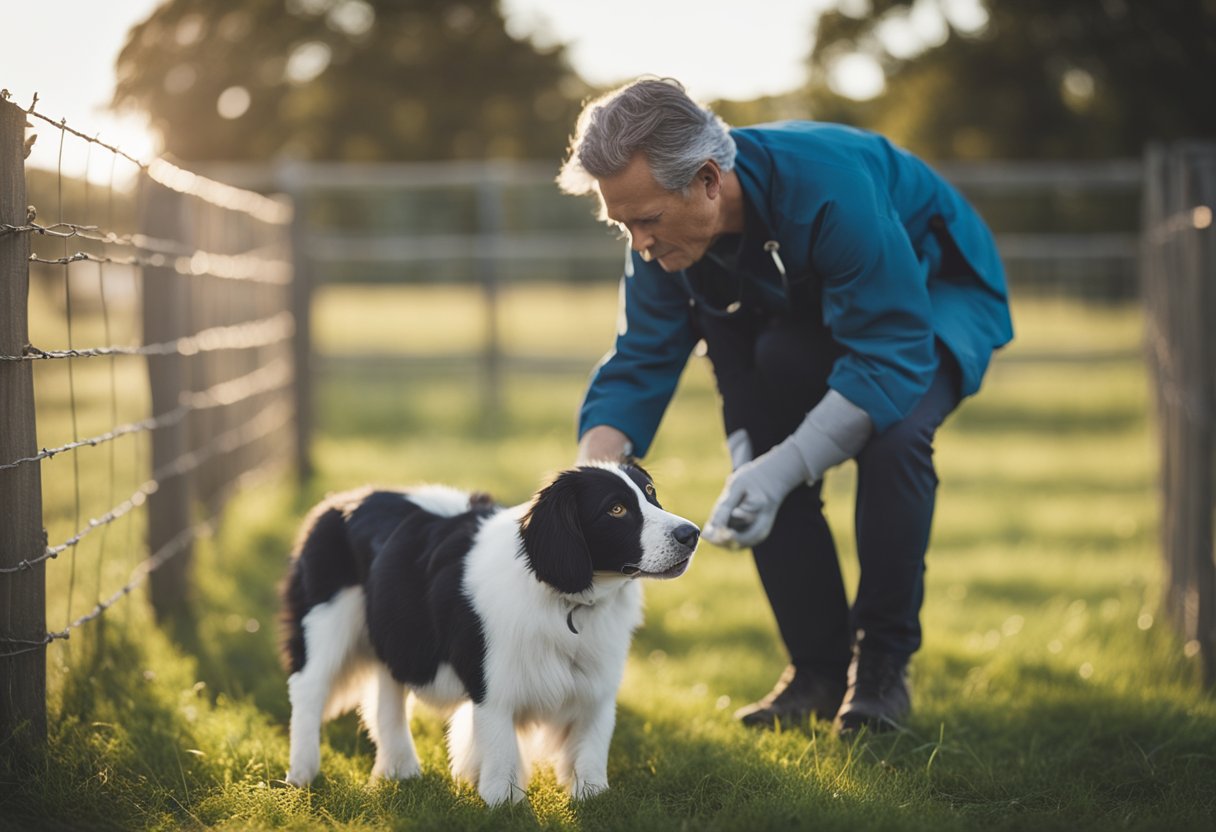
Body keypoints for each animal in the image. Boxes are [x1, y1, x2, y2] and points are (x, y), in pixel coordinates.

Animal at [276, 462, 695, 807]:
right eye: (616, 509)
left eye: (651, 492)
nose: (691, 533)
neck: (567, 602)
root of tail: (337, 501)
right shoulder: (494, 685)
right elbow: (501, 748)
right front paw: (502, 802)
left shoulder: (597, 688)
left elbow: (590, 746)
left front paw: (591, 797)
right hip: (324, 625)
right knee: (307, 691)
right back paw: (303, 775)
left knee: (387, 697)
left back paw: (400, 772)